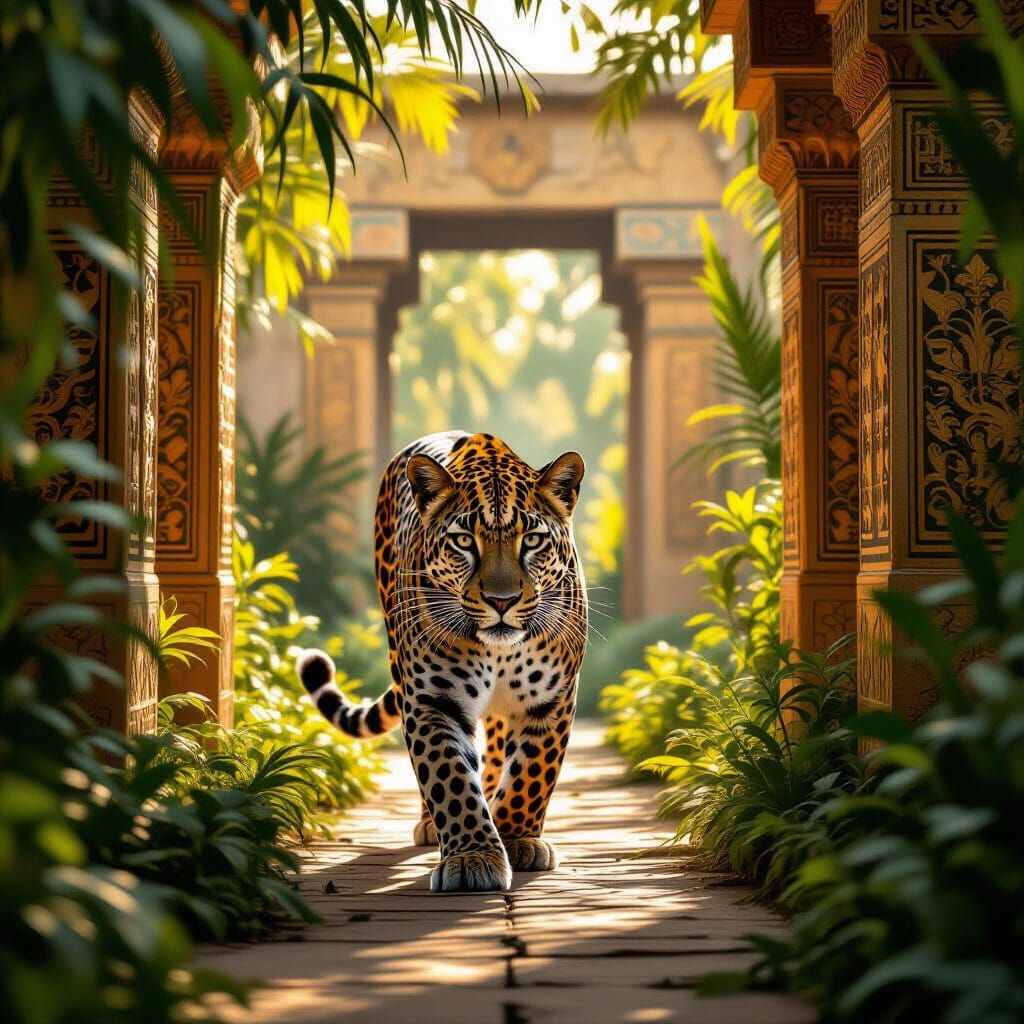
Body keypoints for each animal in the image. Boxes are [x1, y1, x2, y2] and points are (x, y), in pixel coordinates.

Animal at [297, 430, 587, 893]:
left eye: (532, 541)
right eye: (464, 541)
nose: (502, 601)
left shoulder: (550, 697)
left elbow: (532, 772)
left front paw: (516, 836)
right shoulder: (433, 700)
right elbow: (449, 778)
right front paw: (473, 856)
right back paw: (433, 825)